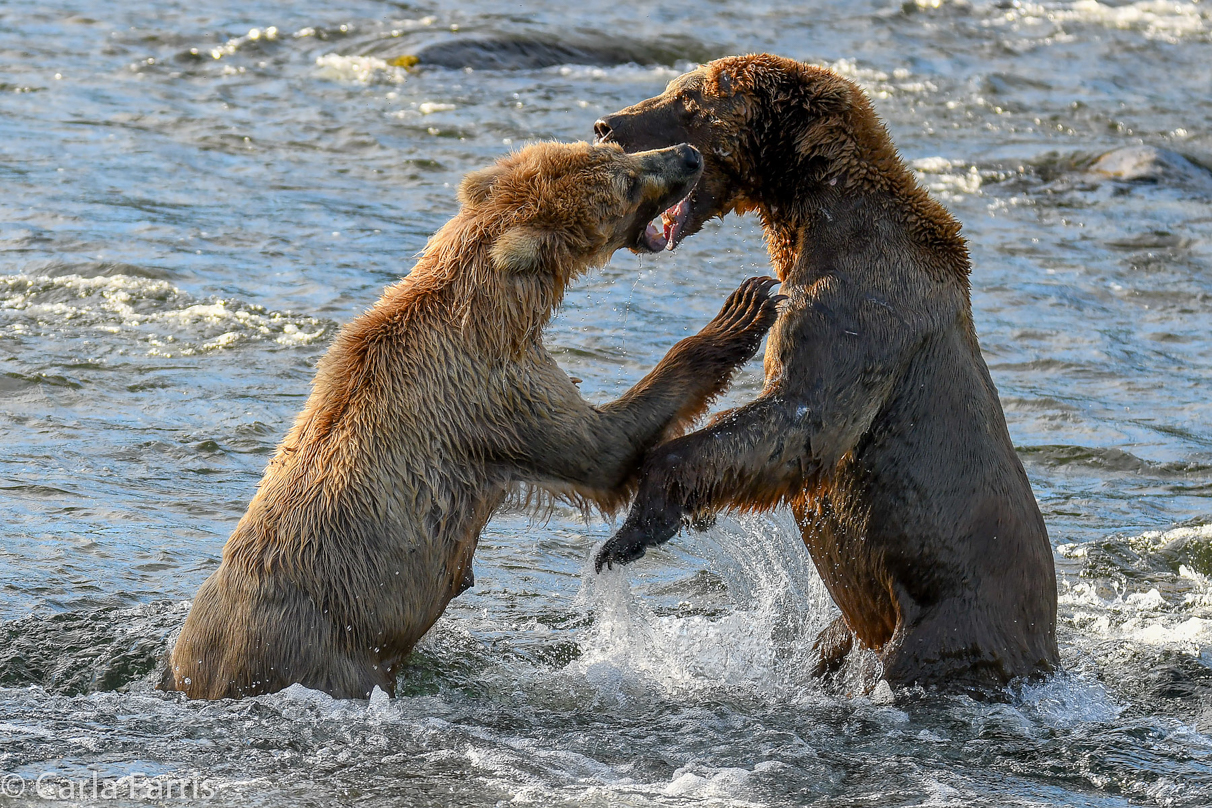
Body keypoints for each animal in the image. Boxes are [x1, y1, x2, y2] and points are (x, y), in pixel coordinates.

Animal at [161, 140, 780, 702]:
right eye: (626, 183)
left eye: (612, 149)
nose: (688, 155)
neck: (499, 309)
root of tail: (200, 675)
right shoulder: (493, 394)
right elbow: (603, 449)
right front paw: (742, 312)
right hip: (322, 653)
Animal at [596, 55, 1061, 697]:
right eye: (672, 87)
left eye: (688, 97)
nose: (607, 125)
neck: (812, 222)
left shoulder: (858, 310)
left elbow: (805, 418)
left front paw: (637, 521)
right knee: (834, 642)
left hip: (955, 618)